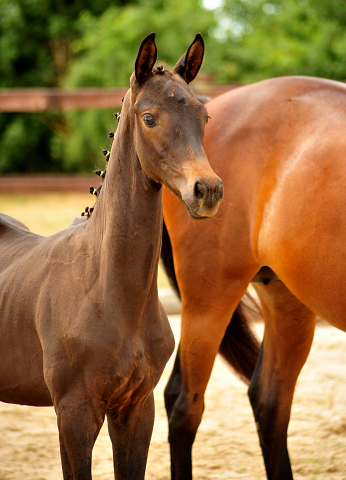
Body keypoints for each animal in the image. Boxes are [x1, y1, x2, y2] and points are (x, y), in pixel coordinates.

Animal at [0, 33, 223, 480]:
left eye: (203, 117)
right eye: (149, 118)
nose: (207, 190)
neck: (107, 289)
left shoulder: (136, 409)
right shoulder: (74, 412)